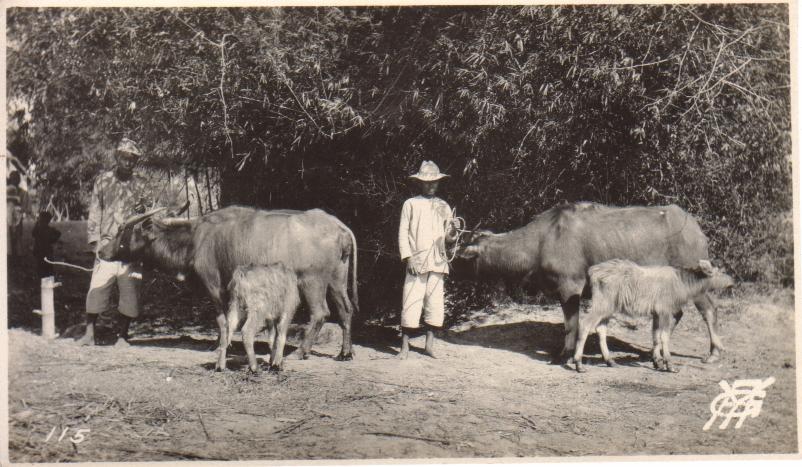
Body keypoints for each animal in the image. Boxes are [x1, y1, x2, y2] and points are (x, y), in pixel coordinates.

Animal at [98, 205, 358, 370]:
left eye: (122, 230)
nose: (101, 251)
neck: (195, 240)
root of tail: (338, 225)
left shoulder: (214, 286)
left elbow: (222, 319)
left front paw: (219, 345)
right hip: (337, 280)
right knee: (345, 310)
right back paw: (345, 353)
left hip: (312, 282)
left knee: (320, 313)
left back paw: (301, 351)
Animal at [454, 202, 725, 364]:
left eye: (460, 256)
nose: (450, 270)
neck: (542, 240)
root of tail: (695, 228)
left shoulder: (570, 288)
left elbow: (572, 325)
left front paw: (566, 355)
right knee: (677, 313)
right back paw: (653, 352)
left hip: (697, 285)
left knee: (709, 310)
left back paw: (713, 352)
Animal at [574, 259, 734, 373]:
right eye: (721, 271)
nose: (732, 281)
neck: (682, 282)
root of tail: (592, 271)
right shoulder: (665, 311)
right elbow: (664, 336)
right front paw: (669, 364)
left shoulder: (657, 314)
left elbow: (656, 336)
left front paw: (657, 361)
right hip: (601, 305)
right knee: (585, 325)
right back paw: (578, 363)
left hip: (609, 308)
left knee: (601, 329)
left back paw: (610, 361)